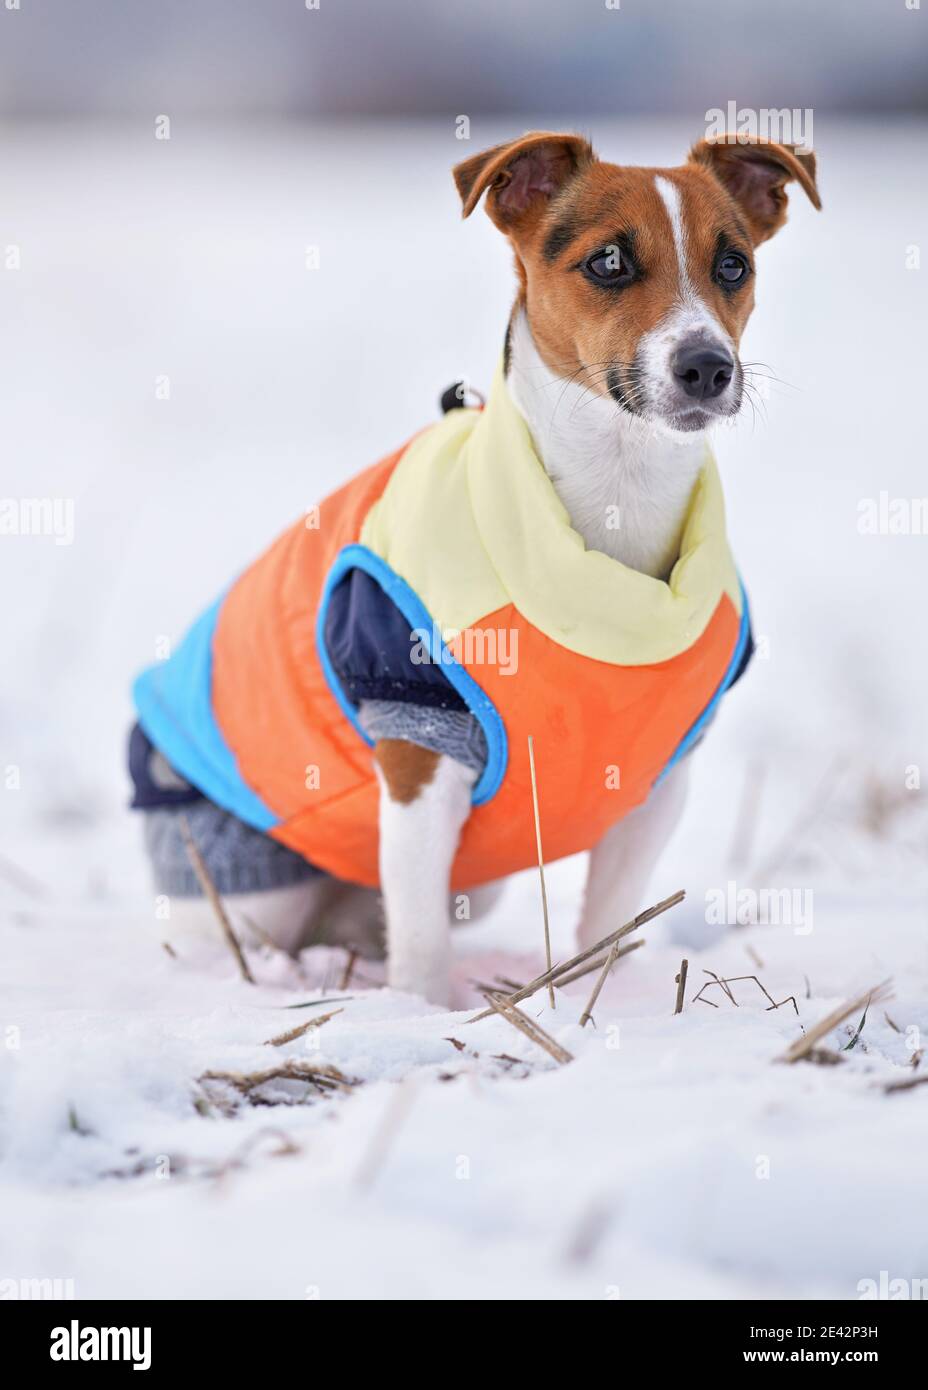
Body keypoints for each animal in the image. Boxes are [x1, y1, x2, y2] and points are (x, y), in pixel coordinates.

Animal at [130, 132, 816, 1000]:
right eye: (609, 261)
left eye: (733, 265)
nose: (707, 366)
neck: (614, 504)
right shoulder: (418, 753)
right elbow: (422, 942)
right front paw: (421, 1012)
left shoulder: (658, 786)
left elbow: (611, 920)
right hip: (254, 882)